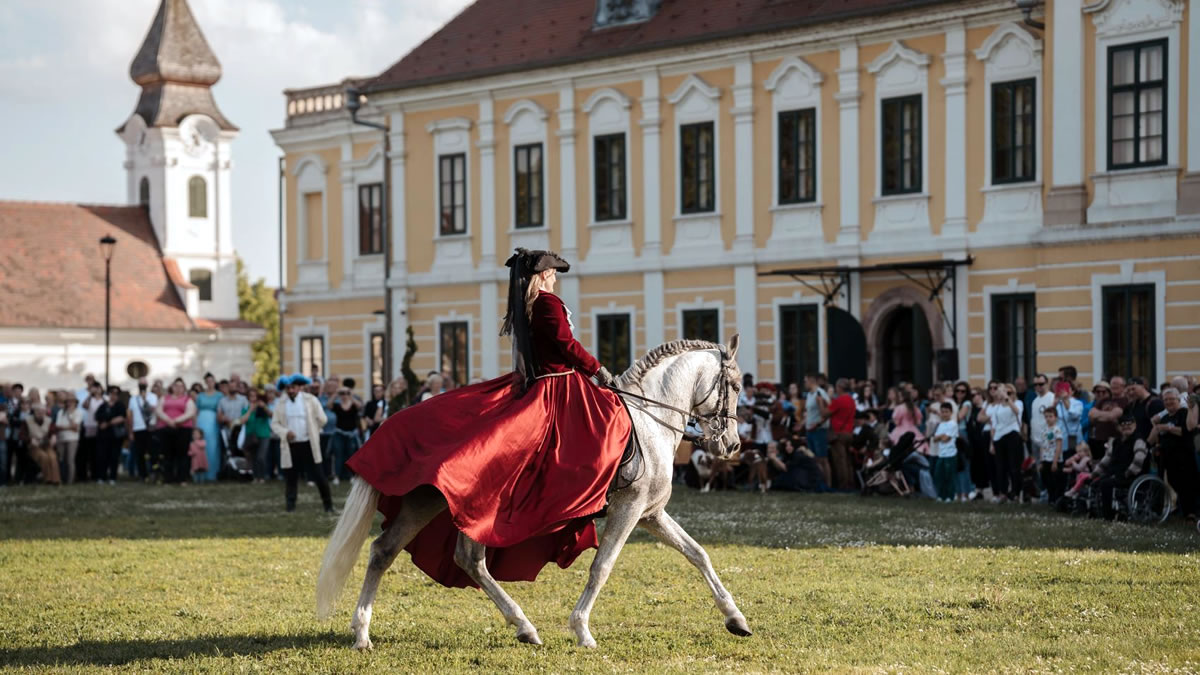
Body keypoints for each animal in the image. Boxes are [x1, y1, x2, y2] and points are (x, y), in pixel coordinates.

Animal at [316, 333, 748, 648]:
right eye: (736, 385)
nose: (731, 445)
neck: (649, 418)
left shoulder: (650, 513)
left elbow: (698, 554)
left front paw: (735, 618)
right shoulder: (629, 508)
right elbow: (602, 566)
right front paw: (582, 630)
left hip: (425, 503)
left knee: (387, 552)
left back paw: (363, 633)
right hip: (471, 510)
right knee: (467, 559)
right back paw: (524, 626)